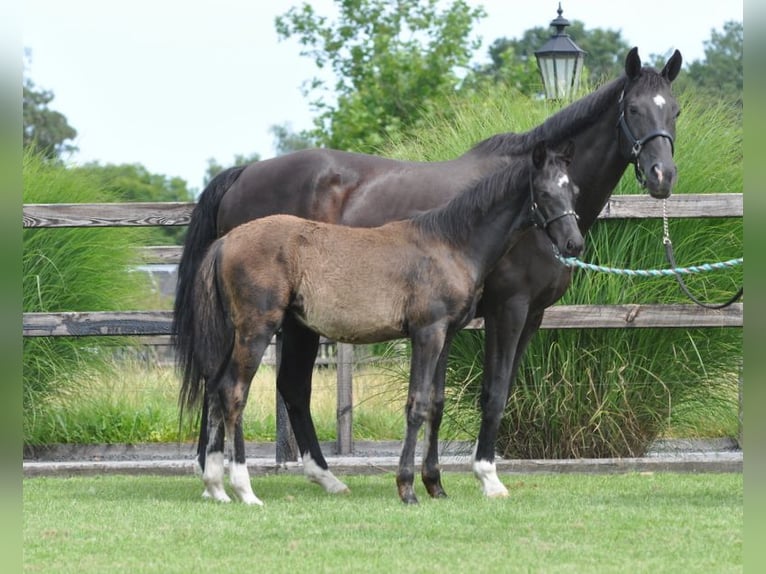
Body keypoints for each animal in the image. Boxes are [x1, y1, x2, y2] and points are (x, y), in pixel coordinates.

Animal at [176, 48, 684, 500]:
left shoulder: (522, 316)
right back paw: (236, 476)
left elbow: (447, 400)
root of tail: (243, 173)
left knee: (257, 385)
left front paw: (433, 480)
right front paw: (486, 477)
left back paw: (264, 477)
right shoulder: (507, 309)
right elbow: (491, 393)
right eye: (634, 109)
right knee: (258, 386)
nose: (662, 176)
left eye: (675, 110)